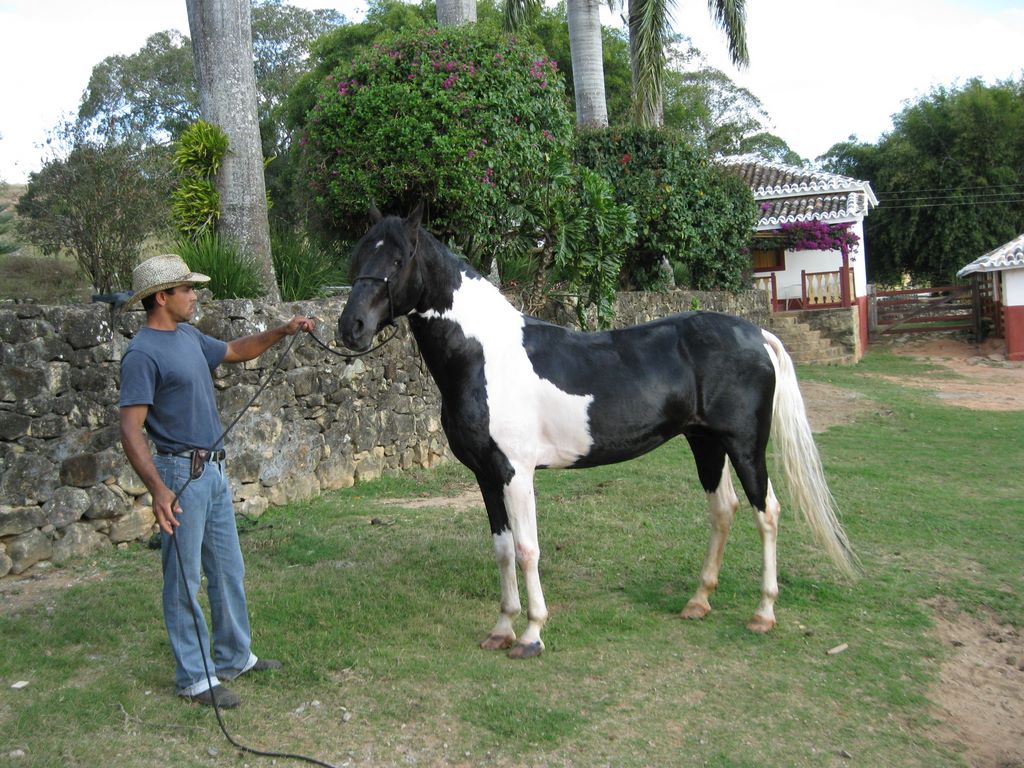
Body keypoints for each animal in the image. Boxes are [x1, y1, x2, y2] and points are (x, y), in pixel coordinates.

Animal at [339, 203, 856, 659]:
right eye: (360, 255)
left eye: (399, 259)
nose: (351, 327)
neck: (486, 357)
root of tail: (756, 334)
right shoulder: (486, 476)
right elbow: (502, 550)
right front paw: (502, 629)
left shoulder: (516, 473)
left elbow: (527, 549)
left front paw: (532, 635)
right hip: (705, 443)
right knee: (723, 510)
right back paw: (698, 602)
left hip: (745, 446)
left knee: (766, 512)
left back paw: (763, 613)